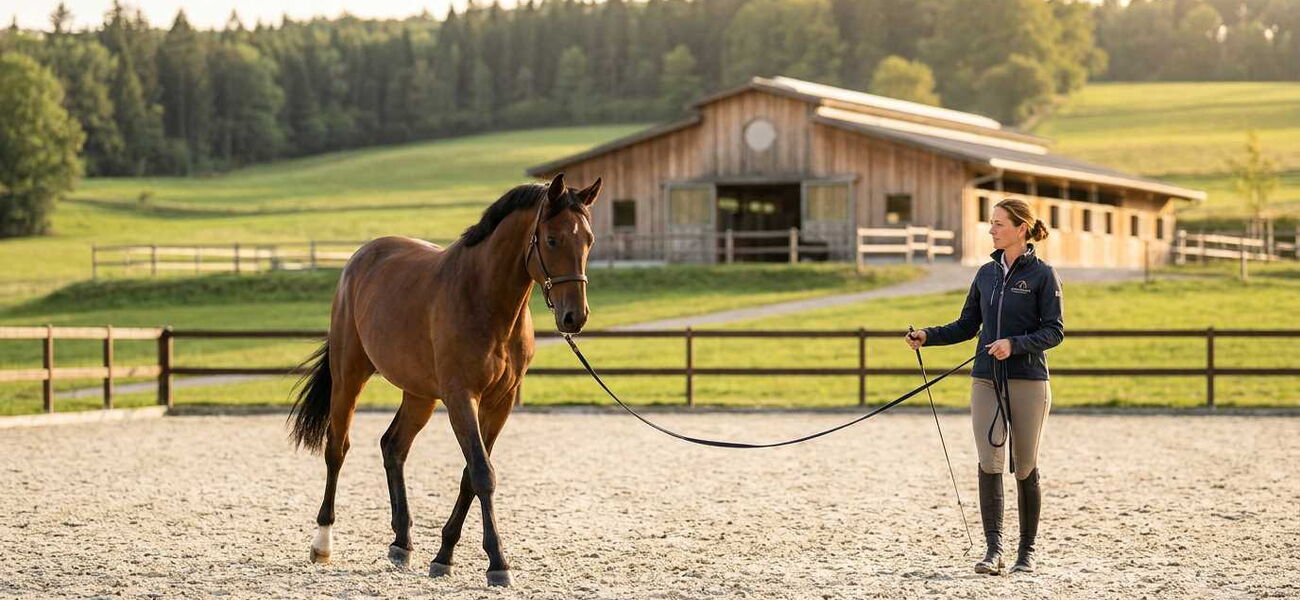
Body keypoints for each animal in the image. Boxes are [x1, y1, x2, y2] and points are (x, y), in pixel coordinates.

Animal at [287, 173, 601, 587]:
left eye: (588, 240)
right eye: (552, 239)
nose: (574, 317)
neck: (485, 299)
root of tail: (360, 258)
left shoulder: (499, 403)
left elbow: (471, 473)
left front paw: (445, 554)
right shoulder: (460, 397)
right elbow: (482, 473)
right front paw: (497, 562)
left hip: (418, 394)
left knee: (393, 447)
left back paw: (401, 543)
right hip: (349, 376)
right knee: (337, 448)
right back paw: (323, 543)